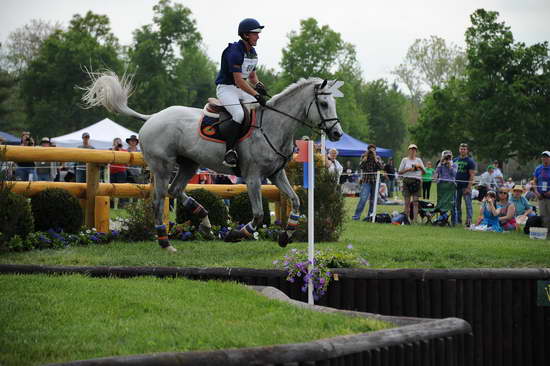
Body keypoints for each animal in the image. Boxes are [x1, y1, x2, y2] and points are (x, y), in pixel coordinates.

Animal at [83, 73, 342, 253]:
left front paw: (285, 235)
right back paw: (166, 243)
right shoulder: (252, 177)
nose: (337, 133)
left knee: (175, 191)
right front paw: (236, 234)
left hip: (189, 164)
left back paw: (205, 222)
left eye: (333, 103)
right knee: (159, 199)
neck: (273, 126)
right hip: (162, 166)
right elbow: (259, 215)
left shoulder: (276, 174)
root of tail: (153, 117)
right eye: (324, 104)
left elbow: (296, 201)